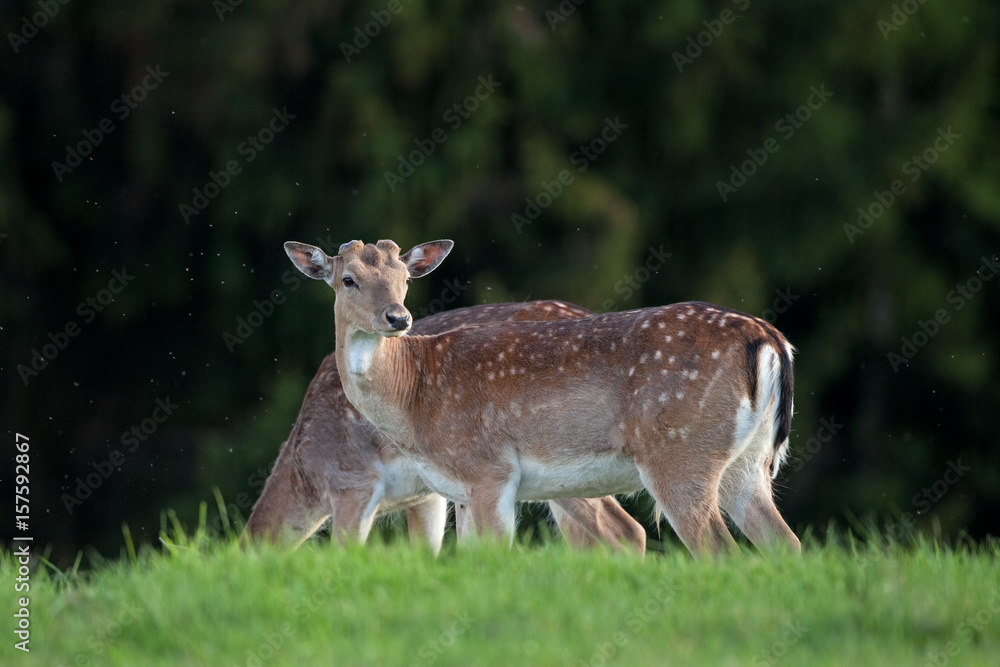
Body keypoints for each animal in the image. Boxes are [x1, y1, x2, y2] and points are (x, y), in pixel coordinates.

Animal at [286, 240, 800, 560]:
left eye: (404, 278)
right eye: (348, 279)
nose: (398, 317)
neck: (415, 395)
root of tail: (770, 340)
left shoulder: (488, 469)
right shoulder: (460, 491)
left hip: (680, 452)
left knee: (718, 549)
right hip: (746, 464)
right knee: (785, 543)